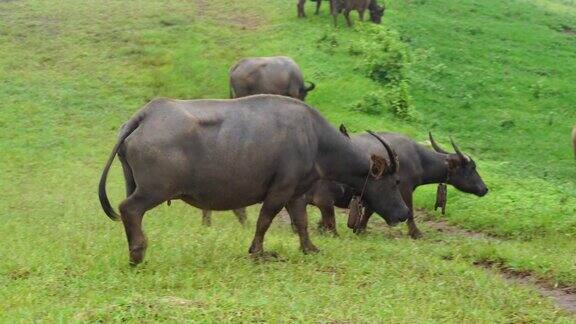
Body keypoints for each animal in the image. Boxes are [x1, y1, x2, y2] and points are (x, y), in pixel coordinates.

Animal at [98, 95, 410, 264]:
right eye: (394, 182)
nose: (404, 213)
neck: (315, 139)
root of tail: (145, 115)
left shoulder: (295, 193)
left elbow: (301, 222)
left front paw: (309, 248)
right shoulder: (279, 190)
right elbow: (264, 221)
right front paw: (258, 252)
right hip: (155, 190)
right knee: (129, 208)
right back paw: (137, 253)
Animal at [306, 131, 486, 238]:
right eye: (472, 167)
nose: (484, 188)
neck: (418, 158)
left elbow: (370, 211)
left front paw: (361, 229)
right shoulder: (404, 189)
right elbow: (410, 210)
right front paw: (416, 233)